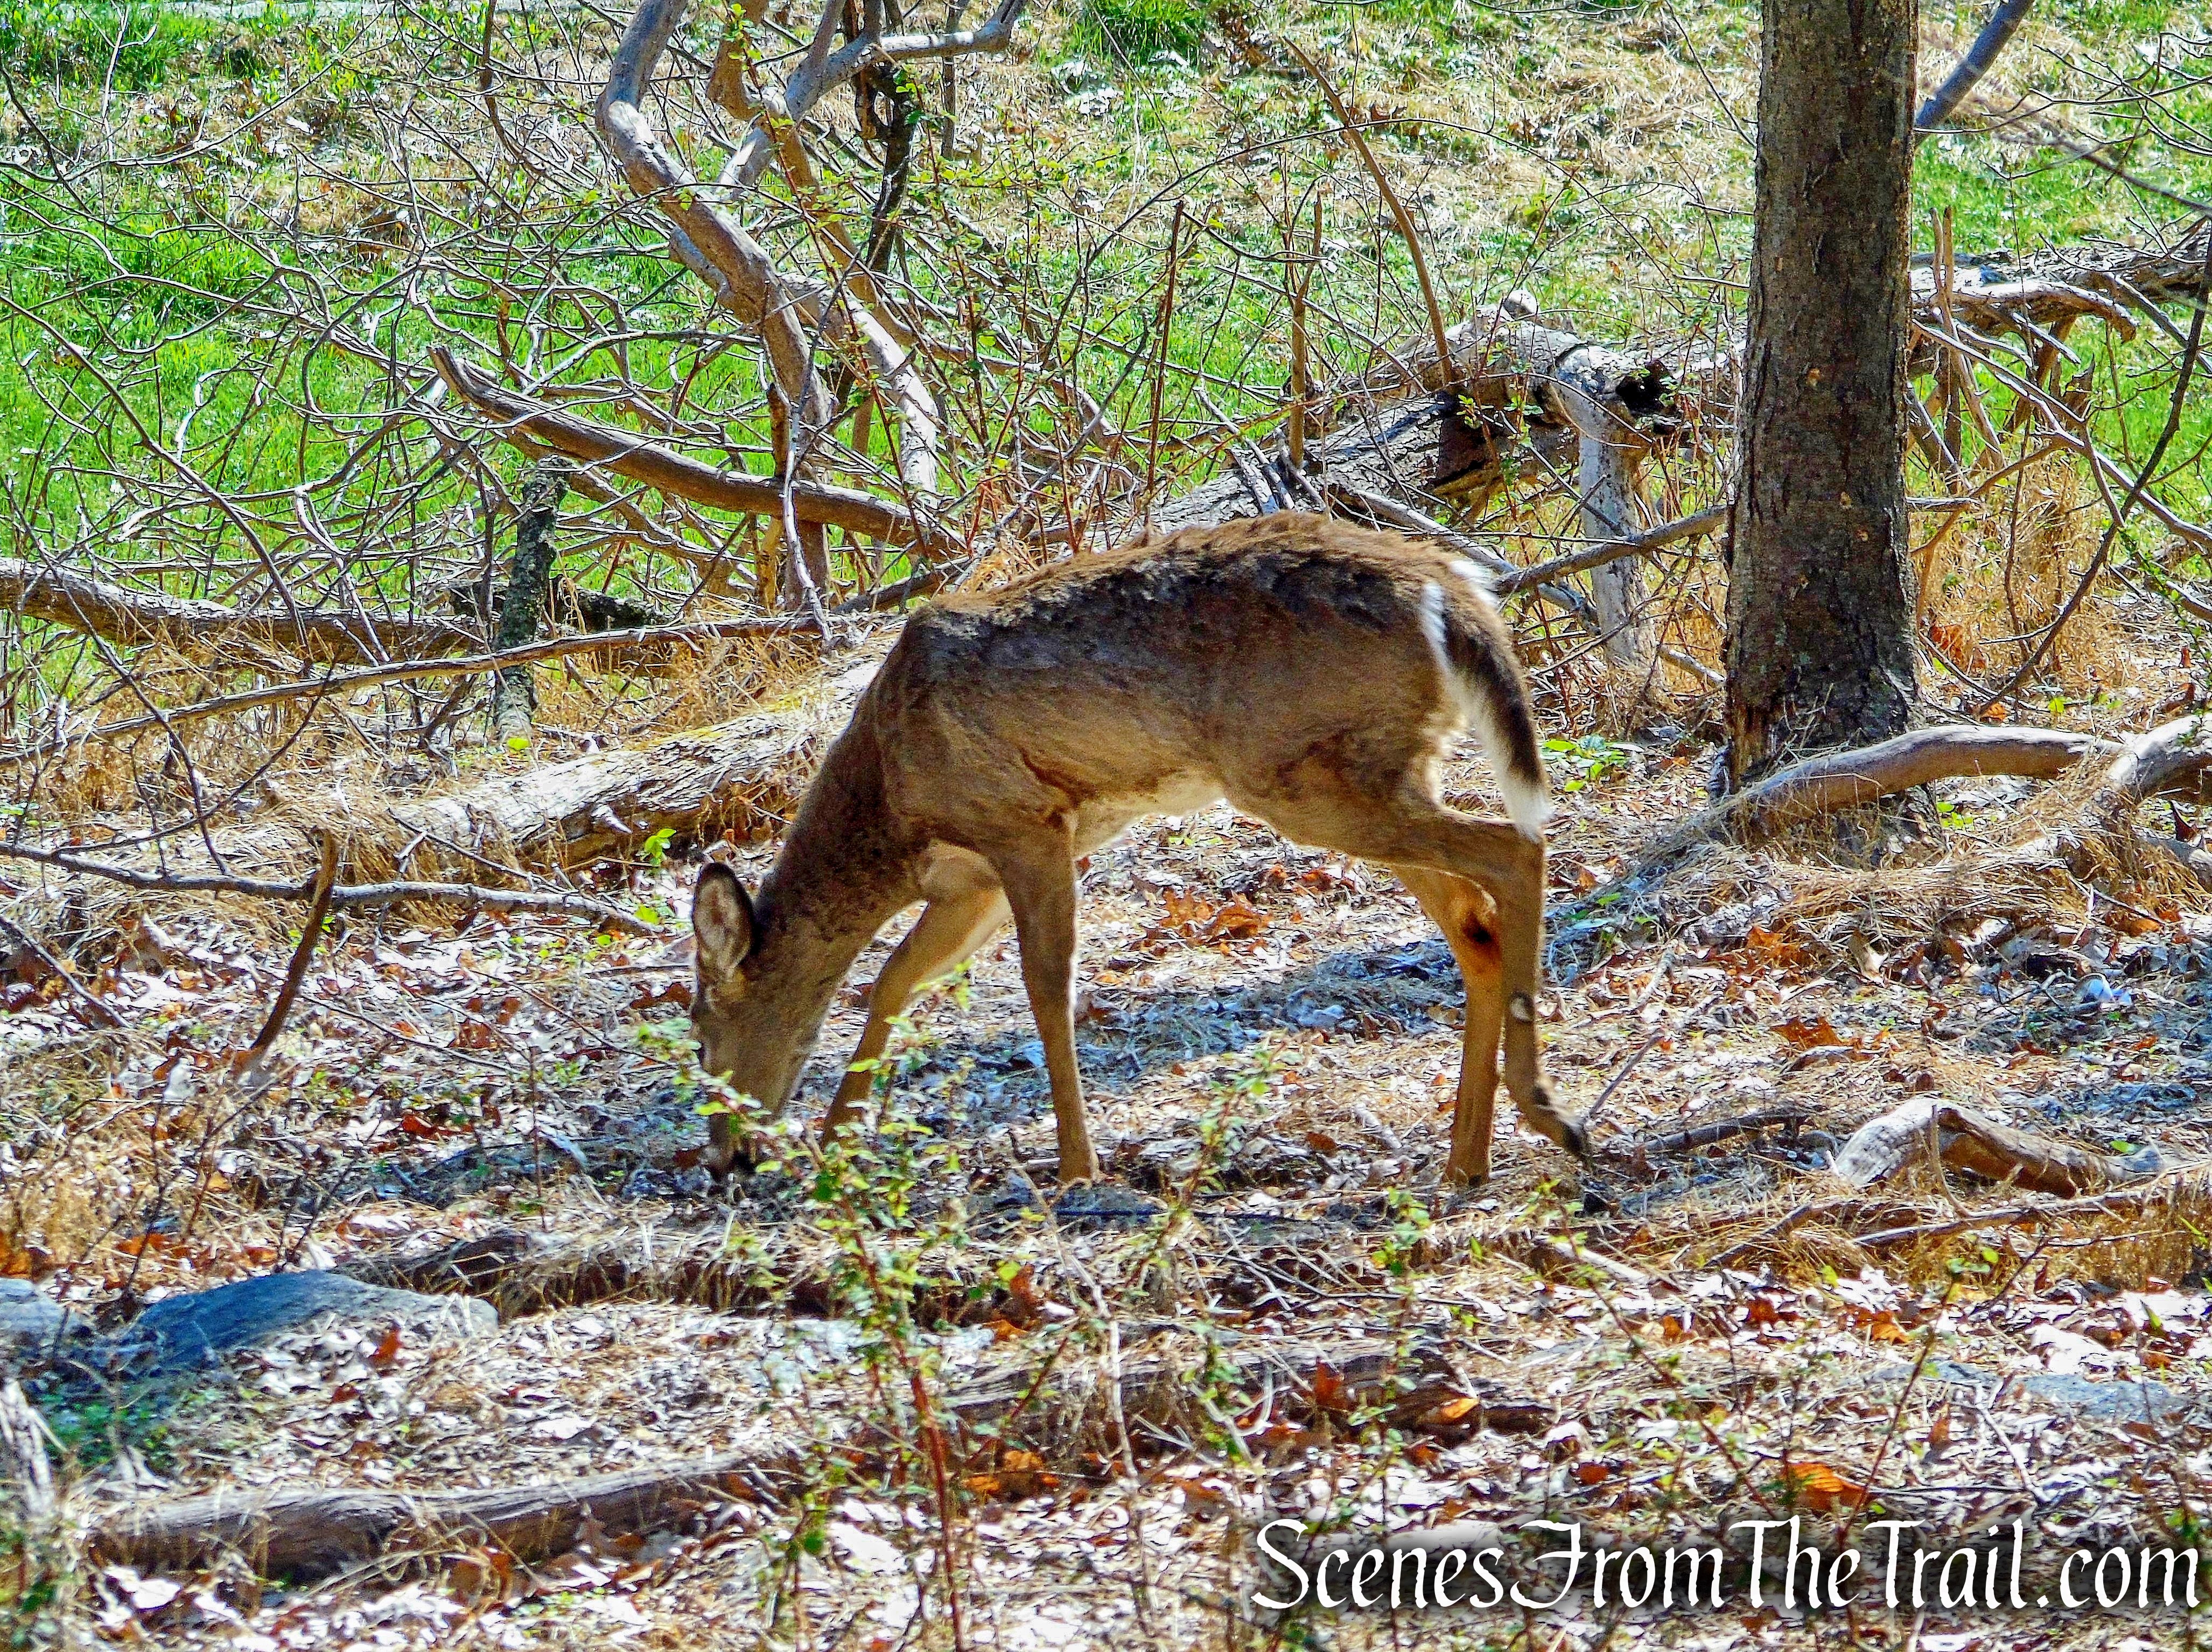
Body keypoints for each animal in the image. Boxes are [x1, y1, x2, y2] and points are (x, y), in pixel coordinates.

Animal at [687, 512, 1587, 1187]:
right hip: (1361, 773)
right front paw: (835, 1143)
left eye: (700, 1034)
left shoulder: (1025, 827)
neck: (891, 798)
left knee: (1513, 848)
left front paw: (1077, 1167)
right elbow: (894, 982)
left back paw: (1546, 1110)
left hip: (1306, 779)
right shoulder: (969, 884)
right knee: (1474, 921)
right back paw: (1468, 1159)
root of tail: (1450, 589)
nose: (726, 1159)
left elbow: (1046, 988)